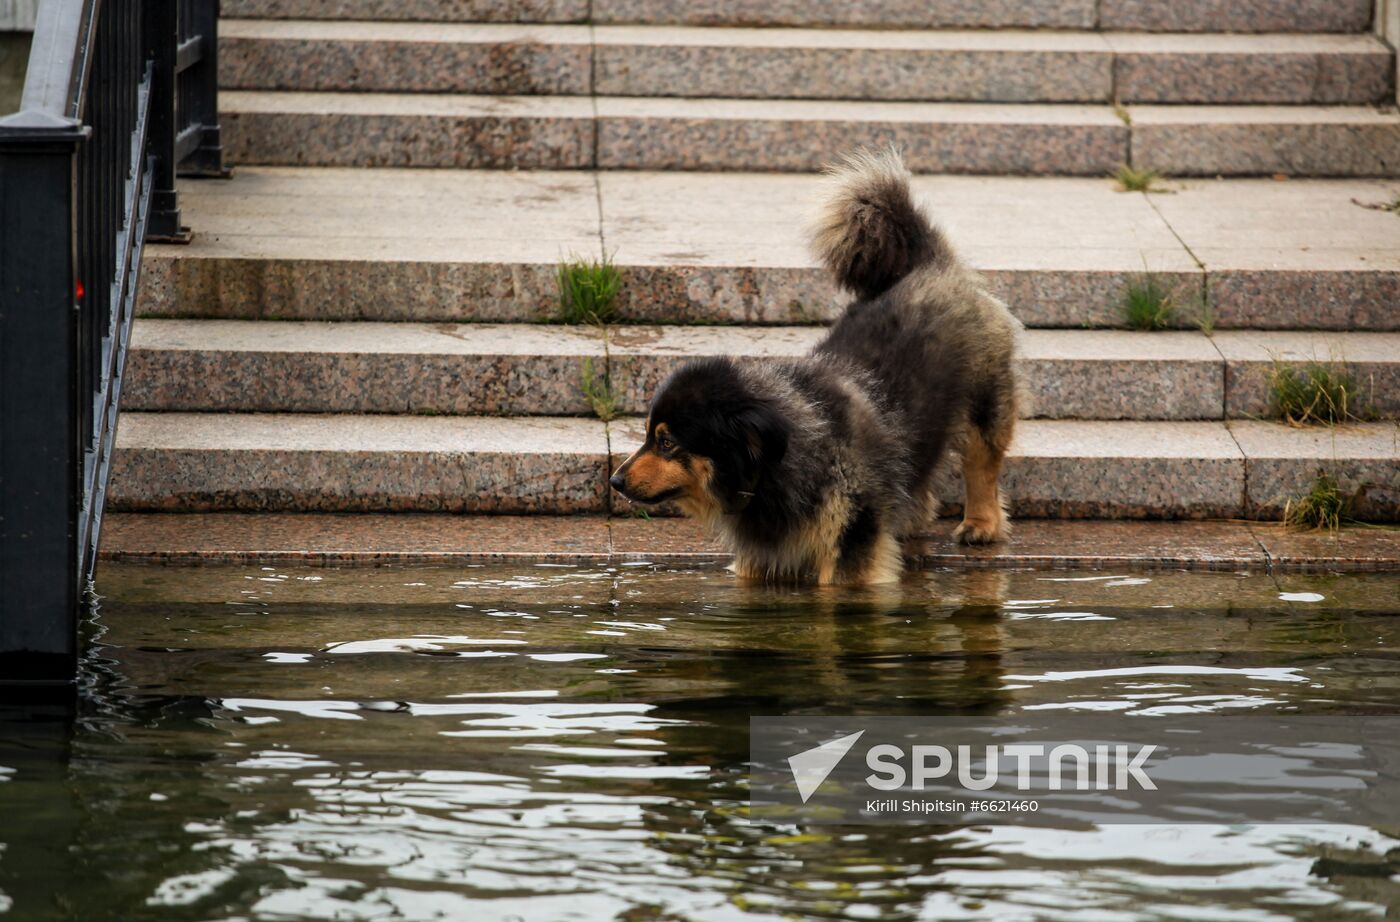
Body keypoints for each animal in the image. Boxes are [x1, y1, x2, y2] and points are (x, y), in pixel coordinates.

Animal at [607, 150, 1024, 584]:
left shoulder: (850, 541)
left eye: (666, 442)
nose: (615, 480)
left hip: (986, 400)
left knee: (982, 463)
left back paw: (981, 524)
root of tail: (929, 262)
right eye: (648, 434)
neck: (772, 464)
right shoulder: (760, 557)